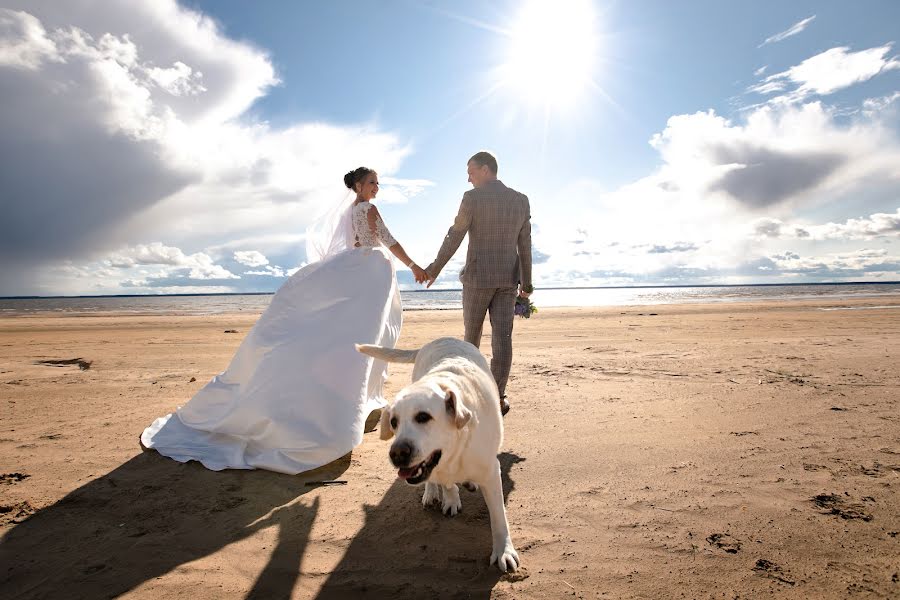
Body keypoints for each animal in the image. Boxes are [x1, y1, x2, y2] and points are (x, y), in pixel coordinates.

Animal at [354, 338, 516, 572]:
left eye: (423, 417)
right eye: (394, 422)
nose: (397, 454)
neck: (455, 451)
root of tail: (442, 338)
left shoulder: (492, 472)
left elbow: (498, 518)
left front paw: (504, 551)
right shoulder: (439, 468)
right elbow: (446, 484)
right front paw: (450, 498)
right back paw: (432, 493)